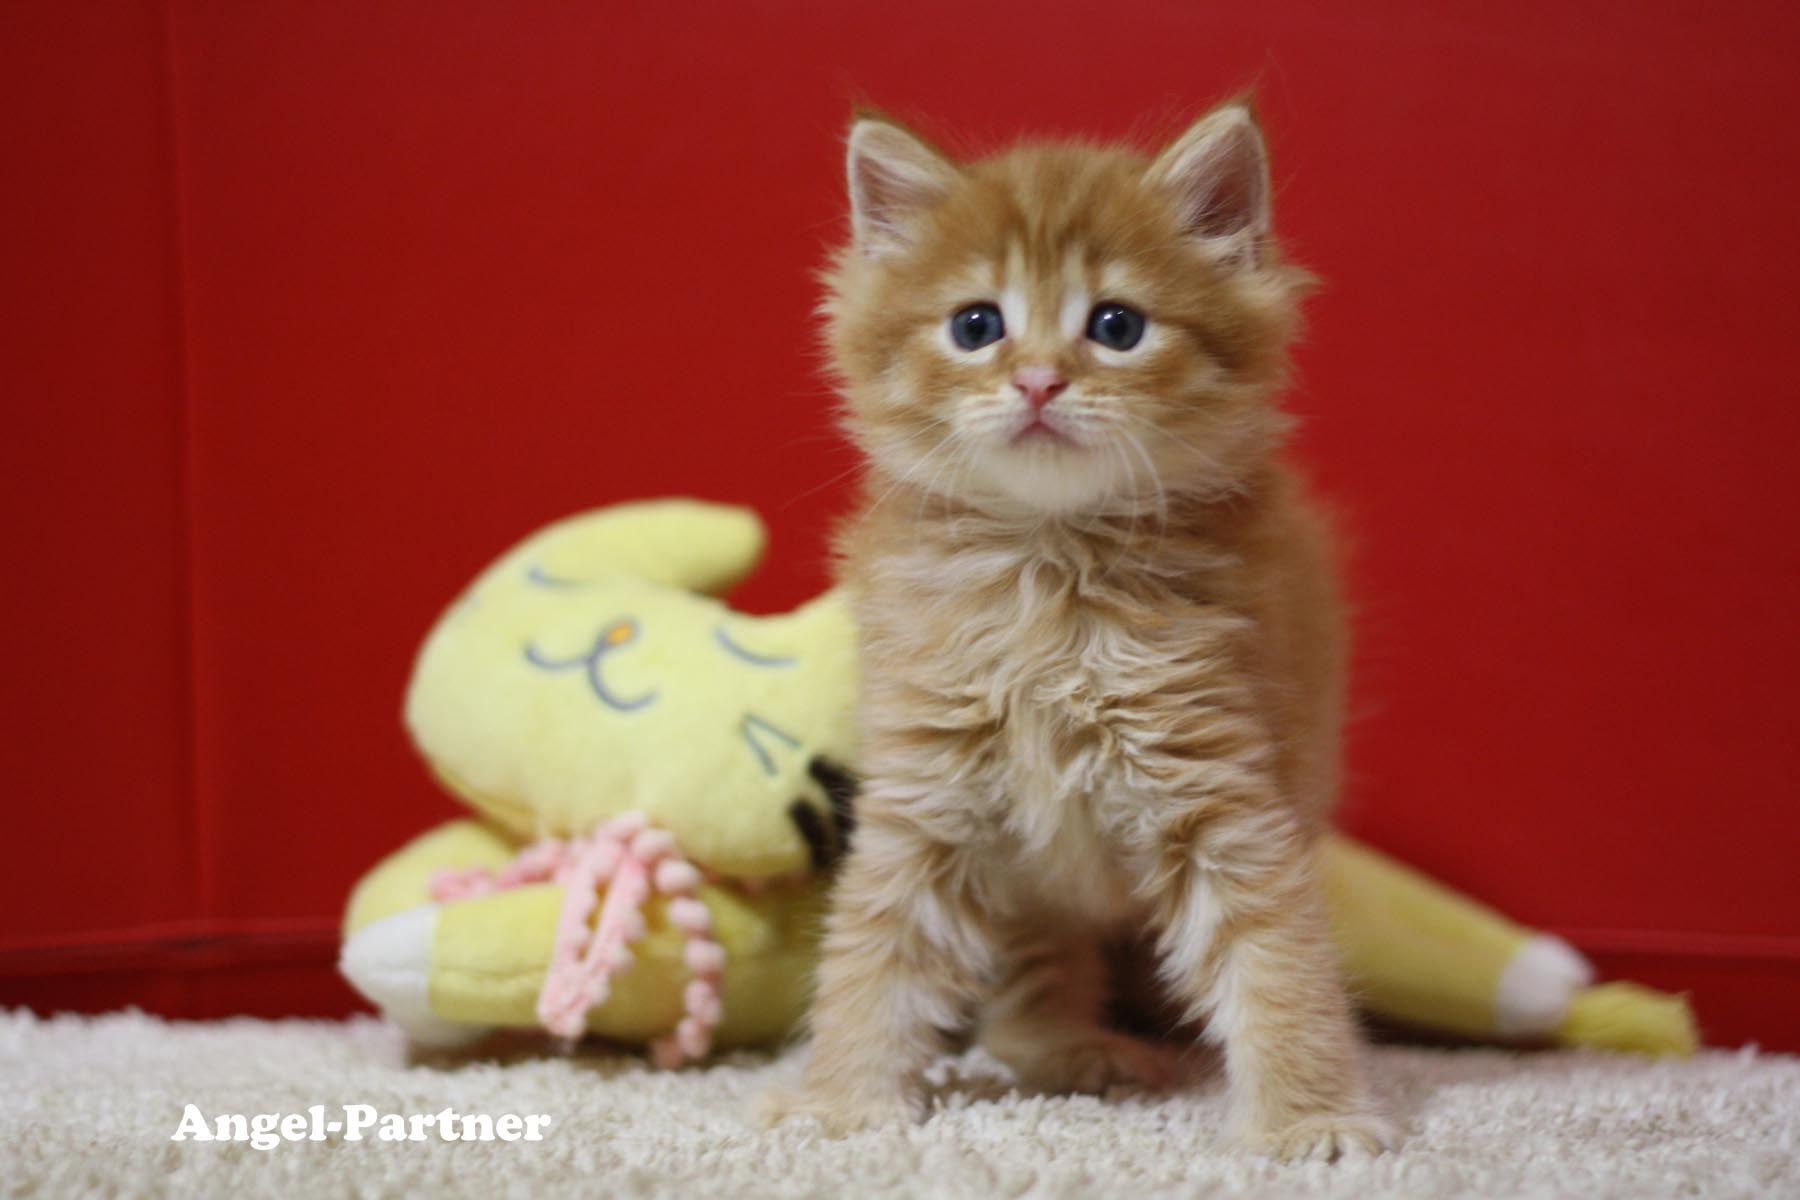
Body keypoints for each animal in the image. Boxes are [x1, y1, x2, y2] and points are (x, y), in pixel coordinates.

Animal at [759, 100, 1389, 1165]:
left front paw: (1313, 1116)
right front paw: (843, 1100)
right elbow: (874, 955)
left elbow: (1277, 958)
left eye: (1116, 327)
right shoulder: (925, 795)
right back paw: (1065, 1049)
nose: (1041, 383)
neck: (1050, 577)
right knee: (1036, 973)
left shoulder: (1222, 787)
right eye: (977, 326)